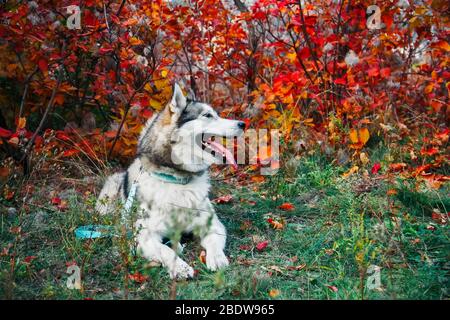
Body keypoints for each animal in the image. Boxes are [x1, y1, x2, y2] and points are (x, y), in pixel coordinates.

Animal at [96, 84, 246, 278]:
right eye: (207, 115)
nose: (243, 124)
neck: (177, 179)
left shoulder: (213, 225)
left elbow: (214, 243)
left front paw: (217, 258)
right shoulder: (143, 235)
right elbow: (165, 250)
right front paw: (180, 267)